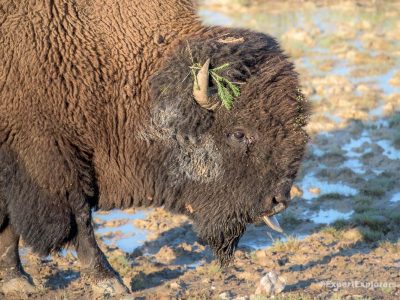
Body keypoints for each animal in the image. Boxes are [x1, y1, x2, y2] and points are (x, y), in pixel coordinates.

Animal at [0, 0, 310, 296]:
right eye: (239, 133)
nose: (279, 201)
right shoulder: (51, 163)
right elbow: (79, 220)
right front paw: (109, 281)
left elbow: (10, 226)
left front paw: (15, 279)